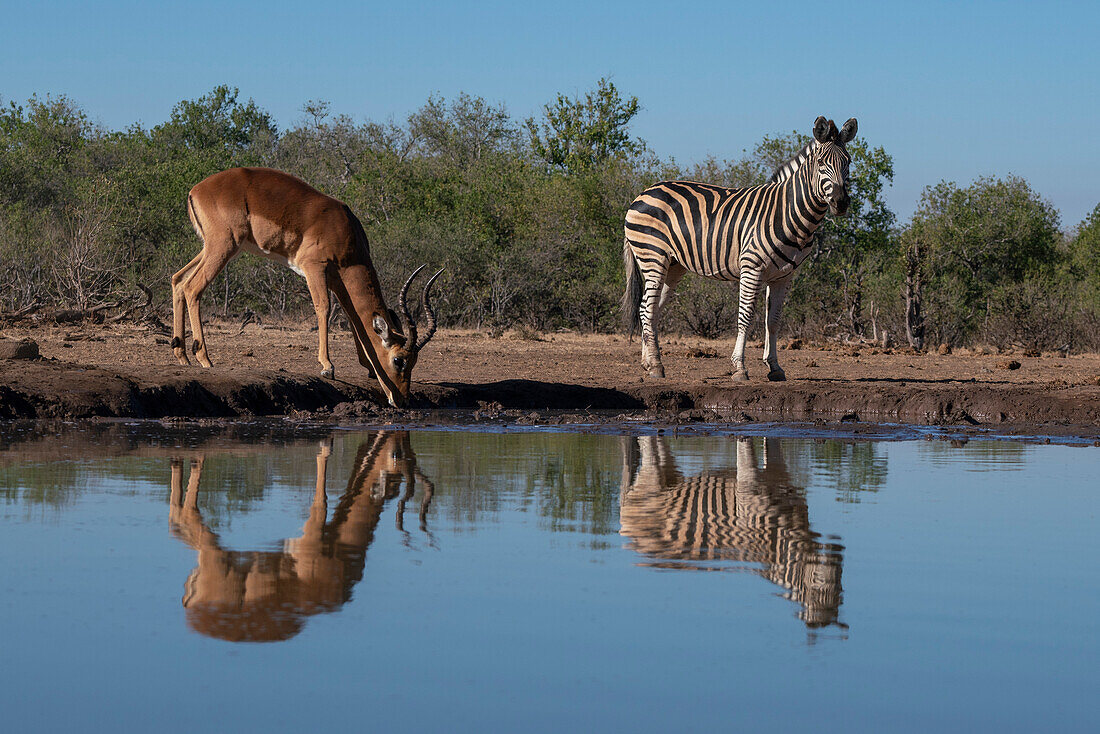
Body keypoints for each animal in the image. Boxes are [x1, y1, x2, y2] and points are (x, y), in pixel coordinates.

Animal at [624, 116, 853, 378]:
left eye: (848, 162)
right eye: (822, 163)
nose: (841, 202)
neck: (787, 212)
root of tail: (643, 193)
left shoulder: (783, 276)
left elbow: (773, 321)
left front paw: (775, 367)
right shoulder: (752, 267)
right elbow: (746, 317)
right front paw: (740, 367)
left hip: (673, 265)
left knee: (649, 310)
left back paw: (648, 362)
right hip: (653, 257)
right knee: (646, 308)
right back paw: (656, 366)